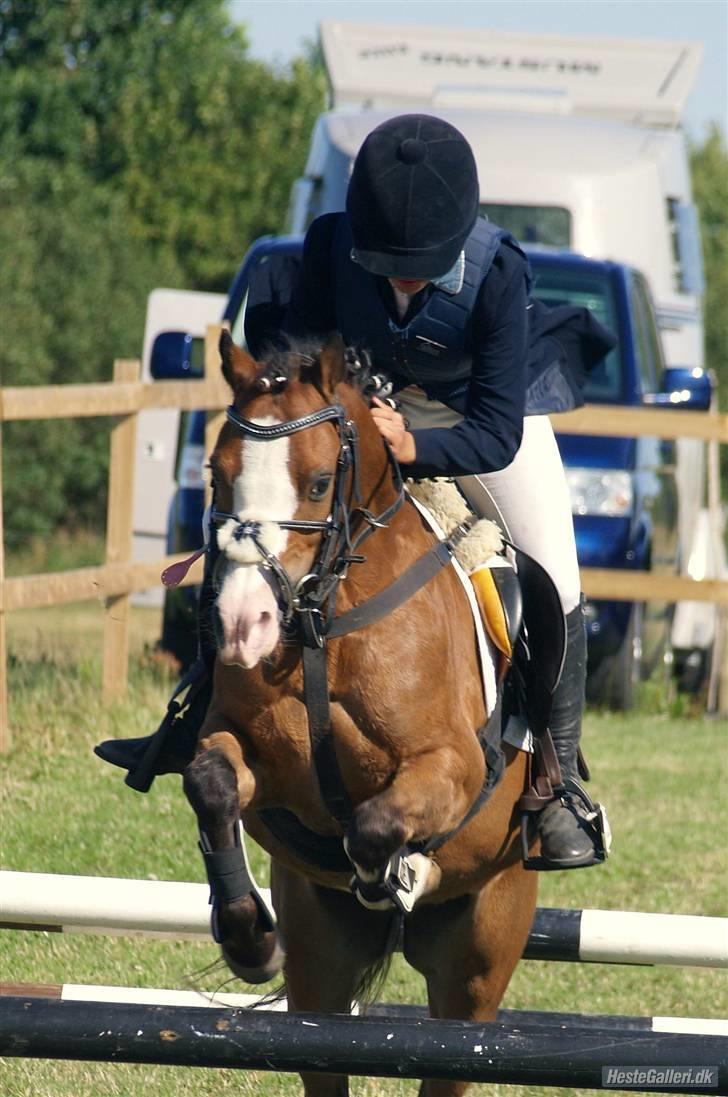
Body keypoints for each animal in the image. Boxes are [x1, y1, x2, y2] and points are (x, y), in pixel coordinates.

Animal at [182, 329, 539, 1097]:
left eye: (319, 483)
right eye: (217, 474)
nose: (242, 626)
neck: (324, 619)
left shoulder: (451, 766)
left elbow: (376, 826)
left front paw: (402, 873)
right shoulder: (249, 756)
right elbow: (212, 785)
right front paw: (248, 937)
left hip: (478, 965)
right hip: (319, 963)